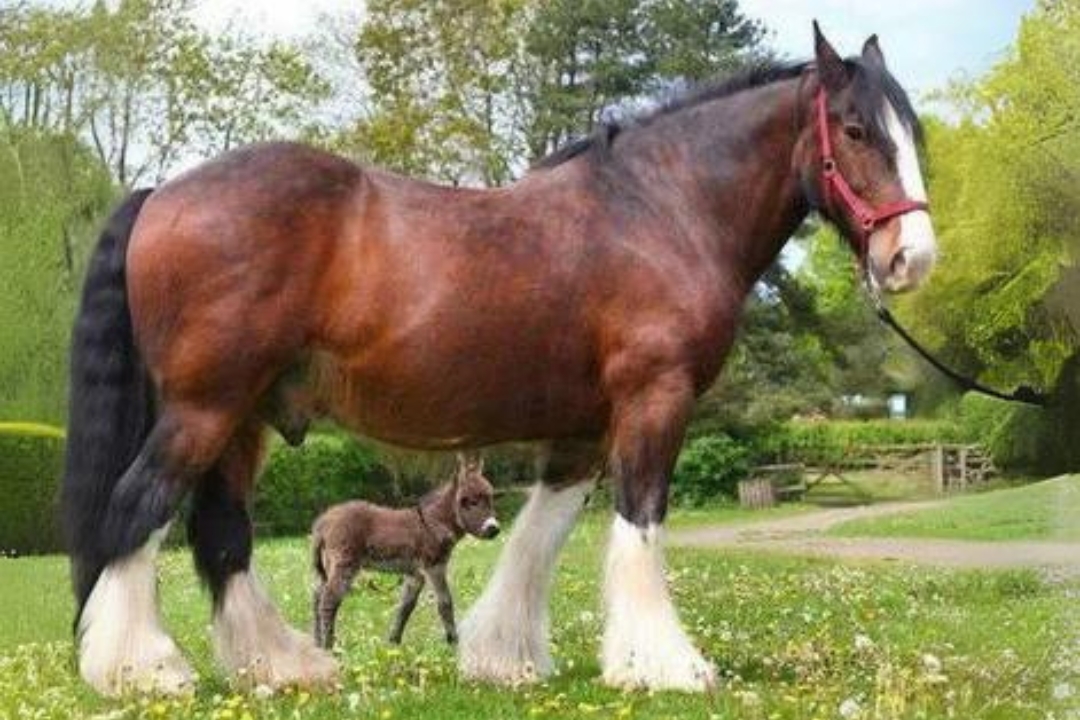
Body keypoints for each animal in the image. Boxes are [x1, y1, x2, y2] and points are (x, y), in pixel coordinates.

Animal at [311, 455, 498, 651]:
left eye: (490, 498)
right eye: (470, 501)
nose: (494, 529)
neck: (434, 522)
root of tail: (323, 521)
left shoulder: (415, 574)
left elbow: (406, 606)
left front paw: (394, 642)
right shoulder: (434, 566)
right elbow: (445, 602)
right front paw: (453, 642)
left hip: (327, 566)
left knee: (317, 596)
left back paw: (317, 643)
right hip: (345, 564)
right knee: (329, 599)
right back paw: (329, 647)